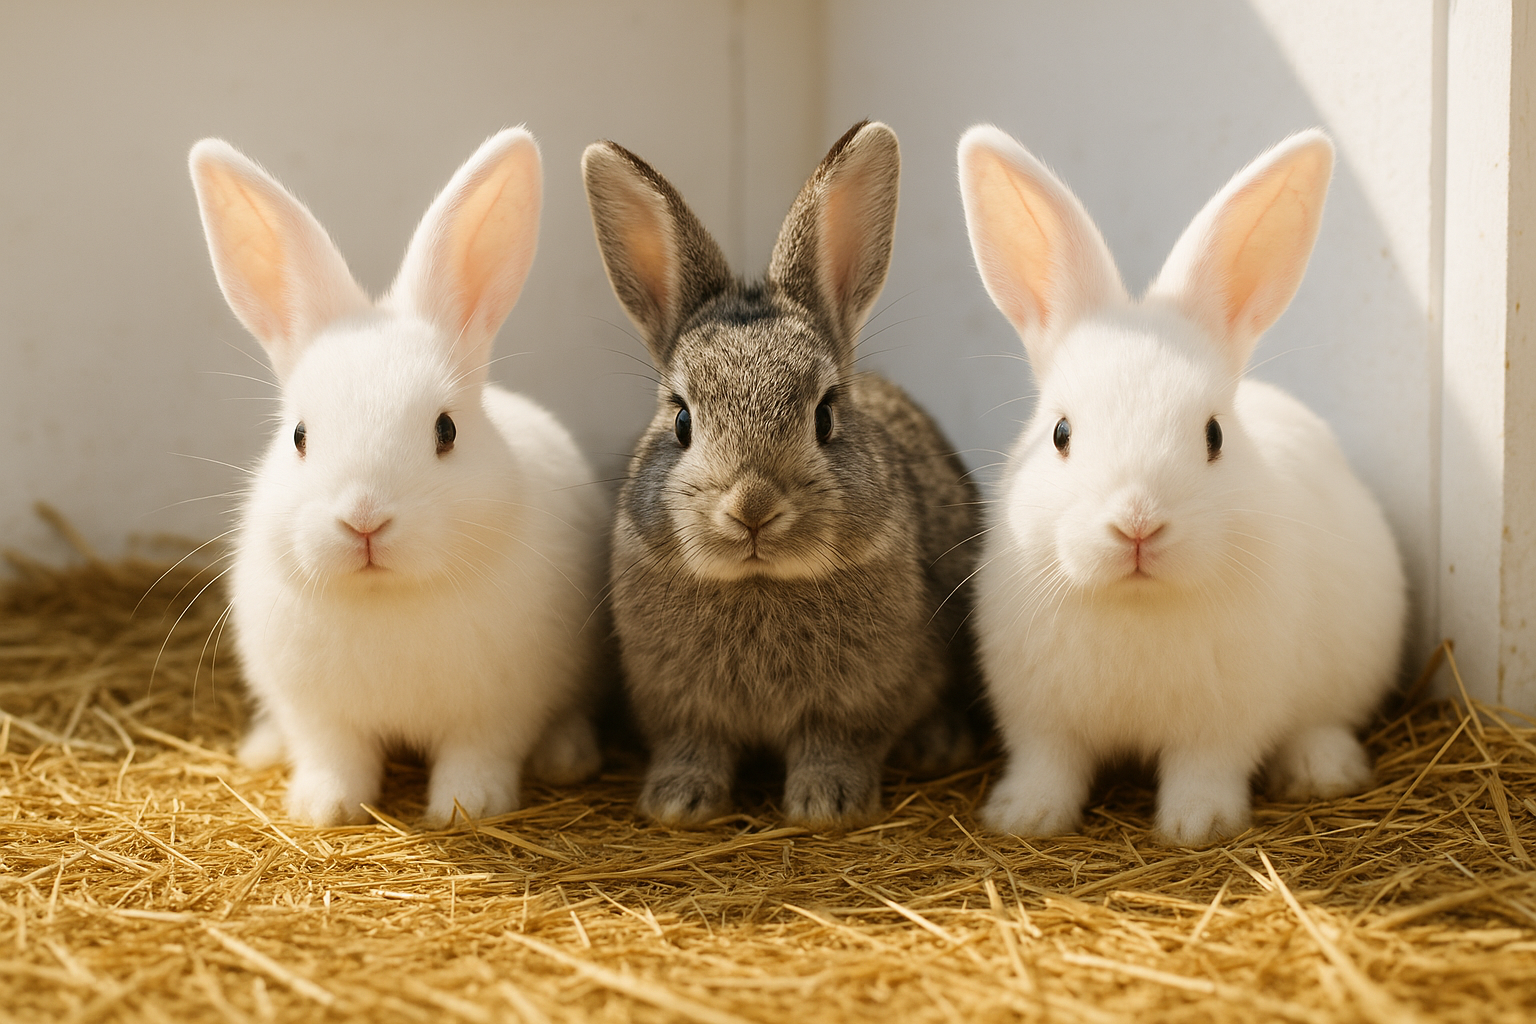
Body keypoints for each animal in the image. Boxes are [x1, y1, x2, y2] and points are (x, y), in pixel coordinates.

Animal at [189, 128, 606, 828]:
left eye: (447, 430)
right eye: (299, 436)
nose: (364, 520)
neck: (385, 596)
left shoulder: (497, 709)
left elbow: (478, 755)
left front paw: (468, 807)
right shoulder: (320, 715)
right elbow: (336, 756)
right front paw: (323, 808)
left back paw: (568, 757)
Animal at [581, 121, 983, 828]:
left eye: (825, 415)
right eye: (681, 420)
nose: (752, 507)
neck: (759, 582)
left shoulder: (856, 703)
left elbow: (834, 745)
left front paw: (827, 803)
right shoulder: (681, 707)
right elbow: (695, 746)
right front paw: (678, 802)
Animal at [957, 126, 1407, 847]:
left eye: (1214, 435)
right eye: (1060, 433)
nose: (1138, 523)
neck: (1138, 603)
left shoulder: (1224, 725)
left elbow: (1205, 770)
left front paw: (1198, 826)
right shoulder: (1041, 722)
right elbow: (1048, 766)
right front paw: (1023, 818)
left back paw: (1322, 770)